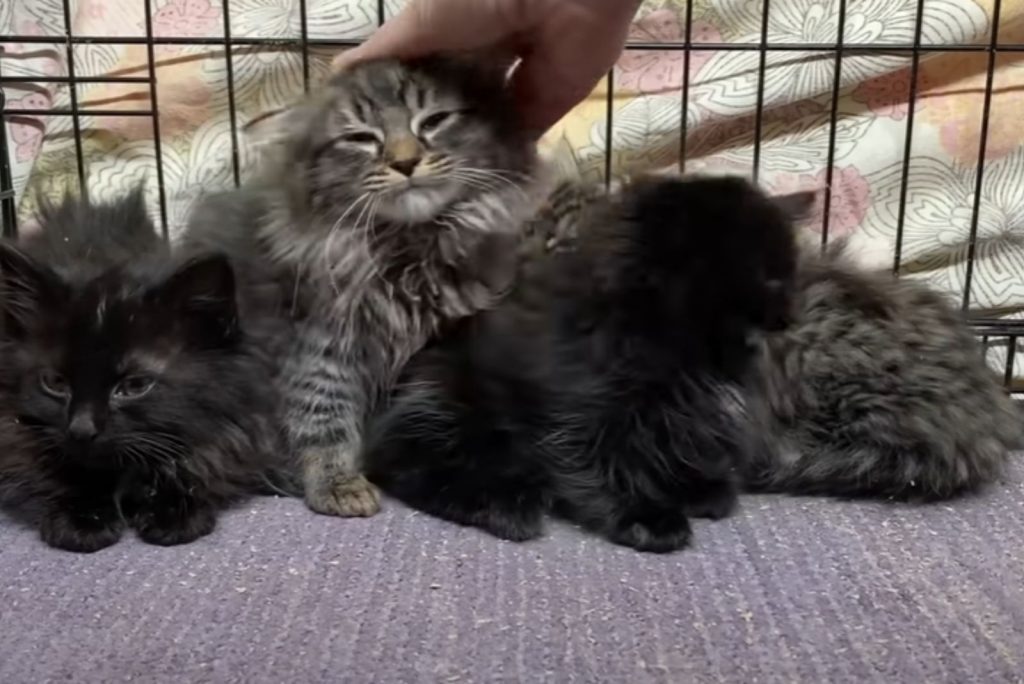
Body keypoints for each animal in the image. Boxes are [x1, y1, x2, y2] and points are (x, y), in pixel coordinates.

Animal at [0, 189, 288, 552]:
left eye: (136, 385)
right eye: (54, 383)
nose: (81, 429)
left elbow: (201, 460)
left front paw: (173, 511)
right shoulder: (13, 429)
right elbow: (45, 465)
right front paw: (82, 519)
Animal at [188, 57, 548, 518]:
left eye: (434, 121)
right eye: (361, 138)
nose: (406, 162)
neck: (408, 254)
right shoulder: (319, 342)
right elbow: (322, 415)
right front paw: (337, 483)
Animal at [364, 175, 802, 548]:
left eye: (786, 274)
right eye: (772, 278)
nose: (788, 316)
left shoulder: (678, 410)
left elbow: (674, 441)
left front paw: (693, 487)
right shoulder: (582, 409)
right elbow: (597, 462)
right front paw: (644, 516)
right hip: (447, 400)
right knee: (406, 462)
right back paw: (507, 505)